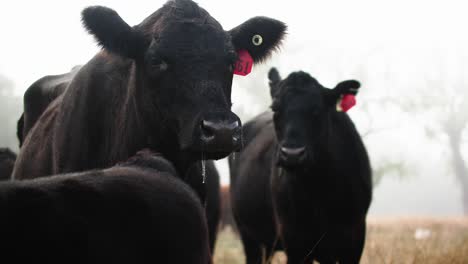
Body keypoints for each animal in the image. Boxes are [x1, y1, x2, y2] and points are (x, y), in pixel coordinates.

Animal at [229, 68, 372, 264]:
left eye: (317, 110)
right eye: (276, 108)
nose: (292, 154)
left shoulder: (354, 238)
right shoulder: (295, 240)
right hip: (248, 235)